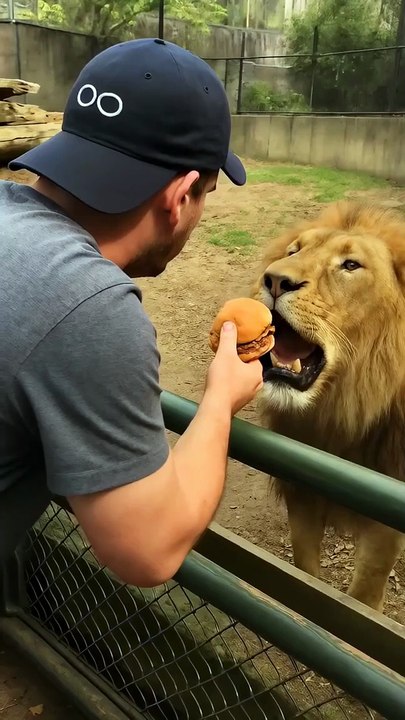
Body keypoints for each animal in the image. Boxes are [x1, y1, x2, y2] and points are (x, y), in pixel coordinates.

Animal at [251, 199, 405, 612]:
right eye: (294, 251)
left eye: (350, 265)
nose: (274, 280)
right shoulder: (301, 490)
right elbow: (305, 573)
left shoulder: (386, 524)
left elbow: (364, 598)